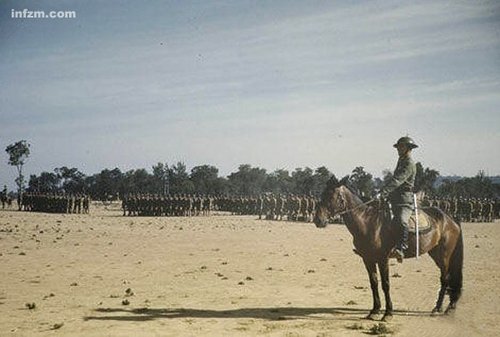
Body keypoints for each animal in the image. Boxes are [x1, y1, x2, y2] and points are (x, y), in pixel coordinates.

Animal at [314, 176, 462, 320]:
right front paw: (374, 310)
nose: (318, 220)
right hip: (435, 254)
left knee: (445, 279)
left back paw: (439, 308)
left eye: (331, 195)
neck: (368, 222)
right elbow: (374, 283)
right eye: (322, 194)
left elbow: (385, 284)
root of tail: (450, 219)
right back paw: (447, 306)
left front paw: (388, 313)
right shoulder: (368, 259)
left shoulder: (383, 259)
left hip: (444, 256)